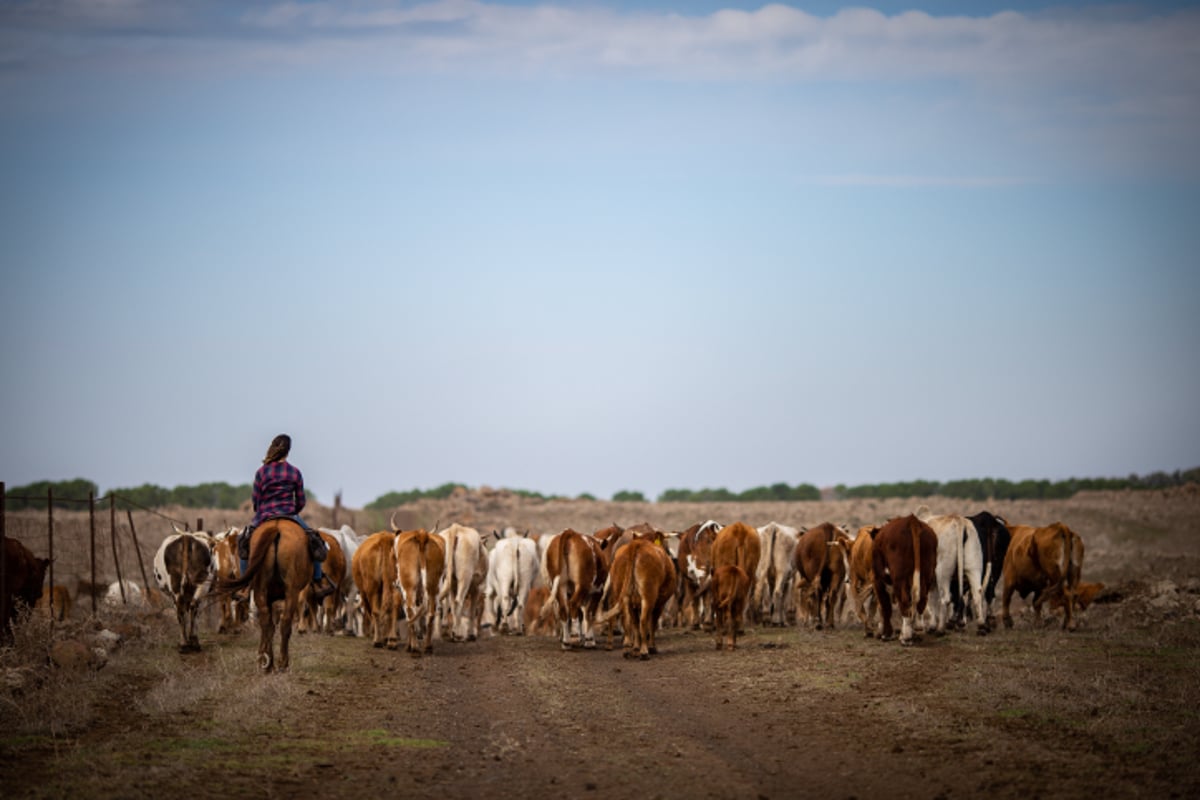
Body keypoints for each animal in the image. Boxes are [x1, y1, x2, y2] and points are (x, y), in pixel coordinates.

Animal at [220, 515, 312, 671]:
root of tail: (276, 528)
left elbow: (270, 626)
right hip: (291, 591)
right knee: (285, 623)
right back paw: (282, 663)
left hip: (261, 589)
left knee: (265, 621)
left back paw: (266, 663)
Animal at [873, 515, 936, 647]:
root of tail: (912, 520)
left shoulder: (878, 581)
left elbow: (885, 607)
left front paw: (887, 634)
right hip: (927, 576)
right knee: (921, 601)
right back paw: (916, 630)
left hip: (899, 579)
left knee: (905, 602)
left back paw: (906, 637)